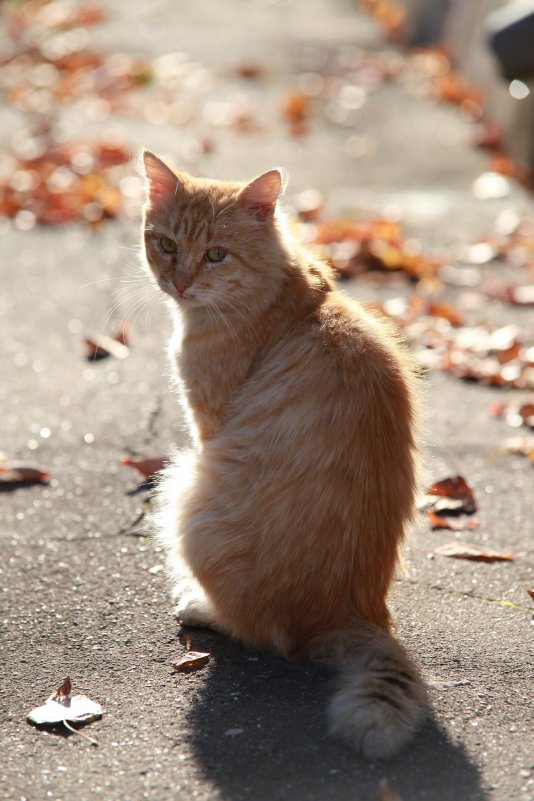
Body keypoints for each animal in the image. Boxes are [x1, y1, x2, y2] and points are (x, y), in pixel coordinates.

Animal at [141, 150, 428, 756]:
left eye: (216, 254)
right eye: (167, 244)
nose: (180, 282)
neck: (285, 292)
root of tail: (357, 614)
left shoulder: (207, 427)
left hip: (189, 493)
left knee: (265, 634)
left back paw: (201, 607)